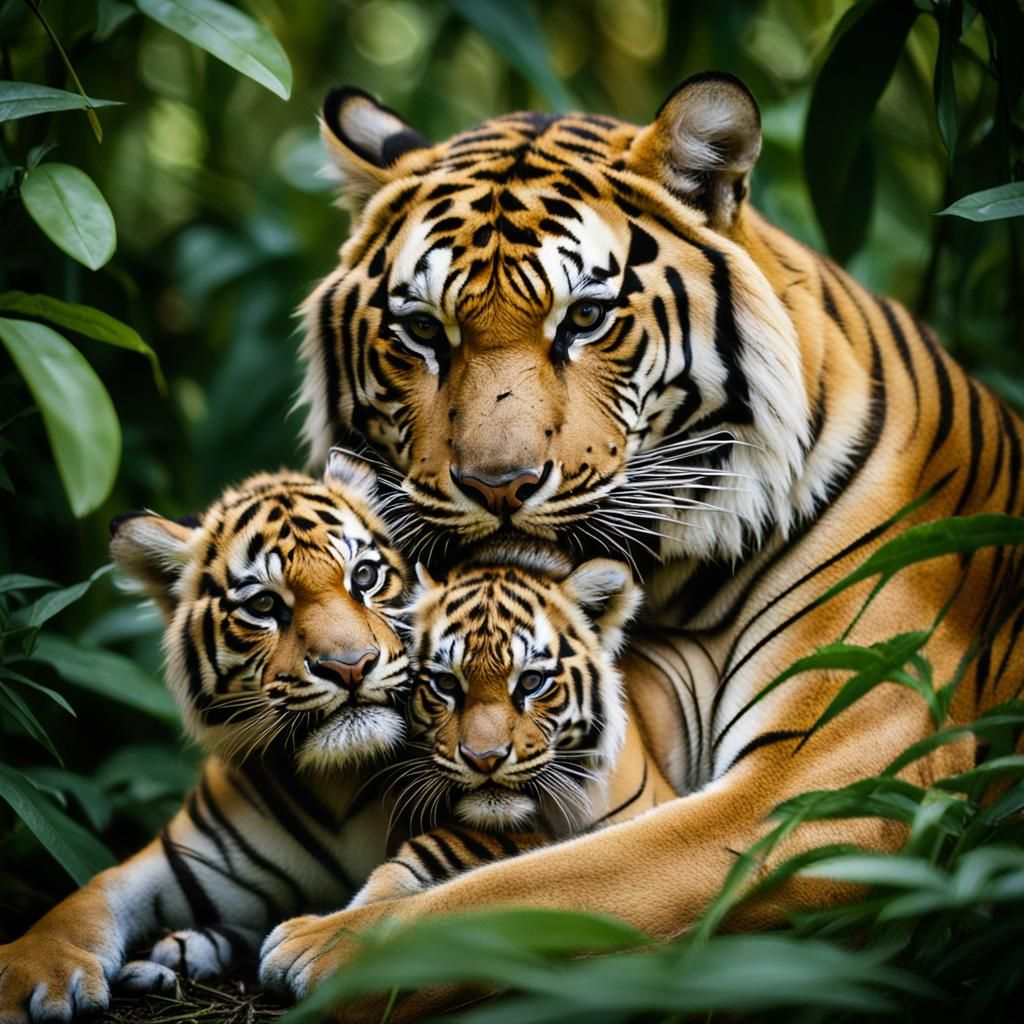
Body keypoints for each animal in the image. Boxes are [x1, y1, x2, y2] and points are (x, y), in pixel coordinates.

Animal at [0, 450, 415, 1023]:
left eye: (365, 576)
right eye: (263, 605)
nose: (350, 666)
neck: (339, 779)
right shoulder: (181, 864)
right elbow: (85, 897)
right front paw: (27, 972)